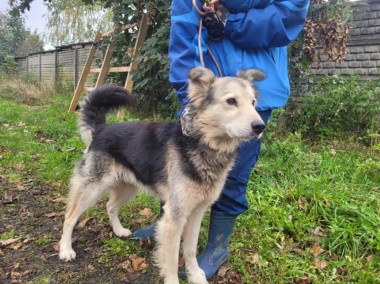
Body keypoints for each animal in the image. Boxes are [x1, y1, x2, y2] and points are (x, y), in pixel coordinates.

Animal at [59, 67, 266, 284]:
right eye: (231, 101)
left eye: (253, 103)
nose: (260, 126)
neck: (203, 145)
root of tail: (101, 128)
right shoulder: (174, 218)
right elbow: (172, 259)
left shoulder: (197, 212)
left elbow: (190, 250)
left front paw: (195, 275)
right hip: (93, 186)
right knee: (70, 216)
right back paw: (65, 249)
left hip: (128, 187)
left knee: (110, 206)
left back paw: (119, 230)